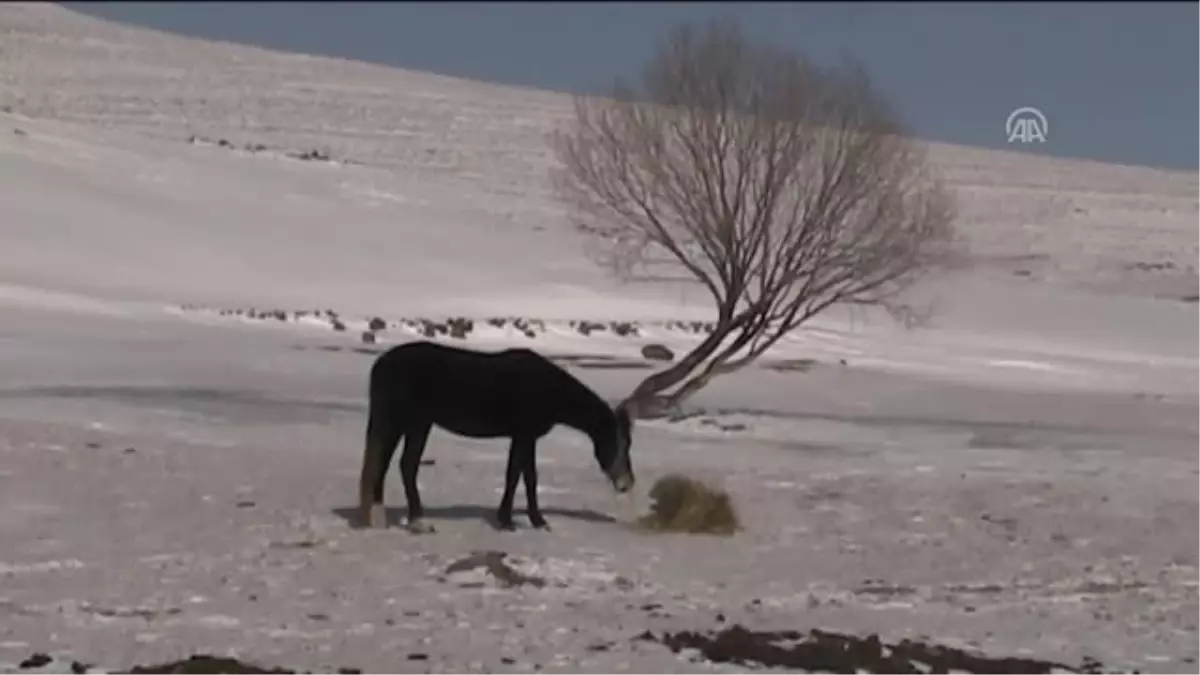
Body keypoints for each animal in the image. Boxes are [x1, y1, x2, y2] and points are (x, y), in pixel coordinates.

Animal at [357, 341, 633, 530]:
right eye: (619, 442)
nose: (627, 483)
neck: (548, 389)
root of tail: (382, 364)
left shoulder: (525, 437)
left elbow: (525, 476)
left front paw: (530, 519)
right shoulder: (524, 435)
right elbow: (518, 476)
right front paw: (513, 521)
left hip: (399, 424)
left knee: (383, 464)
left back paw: (379, 517)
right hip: (415, 424)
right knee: (406, 466)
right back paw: (418, 521)